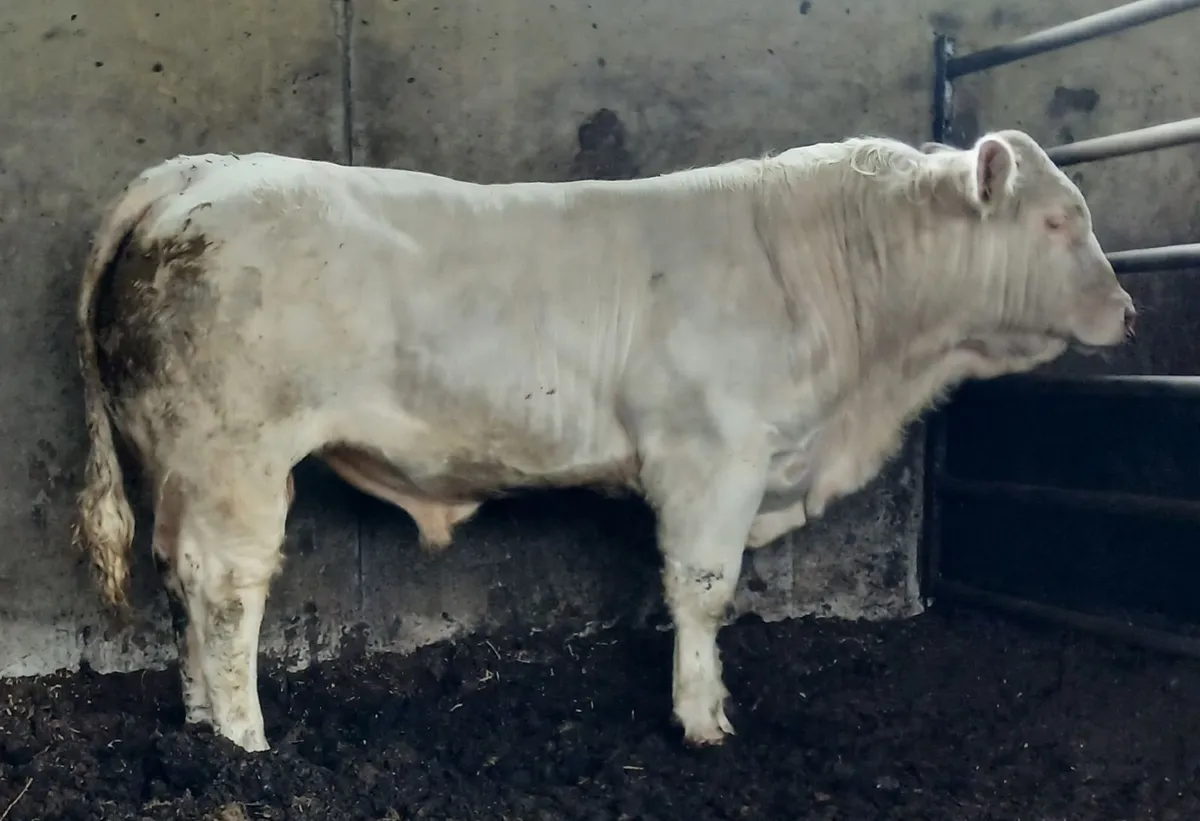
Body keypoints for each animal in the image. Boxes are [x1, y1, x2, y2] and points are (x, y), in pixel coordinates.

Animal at [73, 129, 1136, 753]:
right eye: (1057, 220)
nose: (1127, 311)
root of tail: (197, 171)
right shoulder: (713, 454)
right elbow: (703, 590)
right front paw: (703, 717)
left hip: (182, 455)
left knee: (180, 573)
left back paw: (198, 719)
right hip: (238, 452)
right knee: (227, 583)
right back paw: (243, 741)